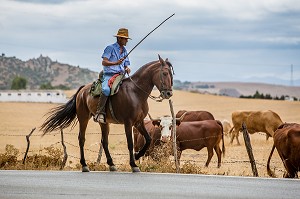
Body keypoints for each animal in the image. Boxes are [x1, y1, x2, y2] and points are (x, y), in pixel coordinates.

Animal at [41, 54, 175, 173]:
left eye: (171, 74)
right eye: (164, 73)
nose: (168, 93)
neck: (136, 92)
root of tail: (82, 90)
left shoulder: (139, 122)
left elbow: (148, 139)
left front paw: (137, 156)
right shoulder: (128, 123)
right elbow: (130, 143)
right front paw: (133, 164)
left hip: (104, 122)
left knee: (104, 141)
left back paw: (111, 164)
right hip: (83, 118)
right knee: (81, 139)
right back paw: (84, 165)